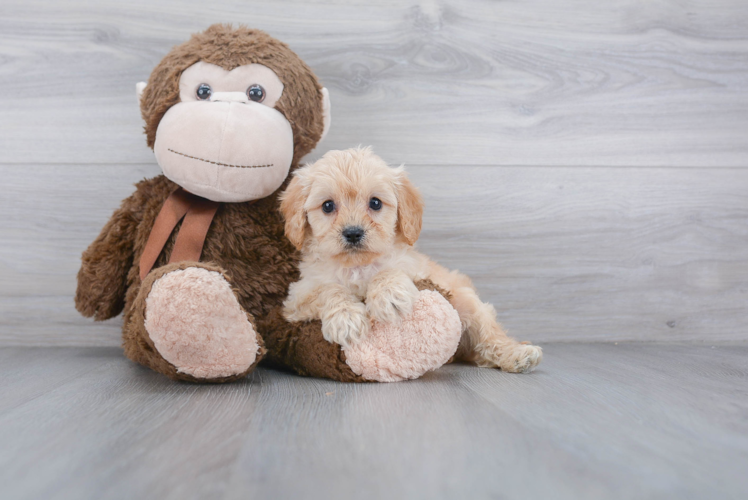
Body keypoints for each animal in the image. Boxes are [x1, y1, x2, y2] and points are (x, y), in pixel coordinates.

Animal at [280, 146, 544, 374]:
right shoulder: (297, 297)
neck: (358, 266)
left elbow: (389, 271)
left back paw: (517, 354)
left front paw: (388, 297)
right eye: (327, 206)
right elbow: (328, 289)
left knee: (490, 338)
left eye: (375, 203)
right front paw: (346, 318)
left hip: (466, 302)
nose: (353, 233)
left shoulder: (417, 271)